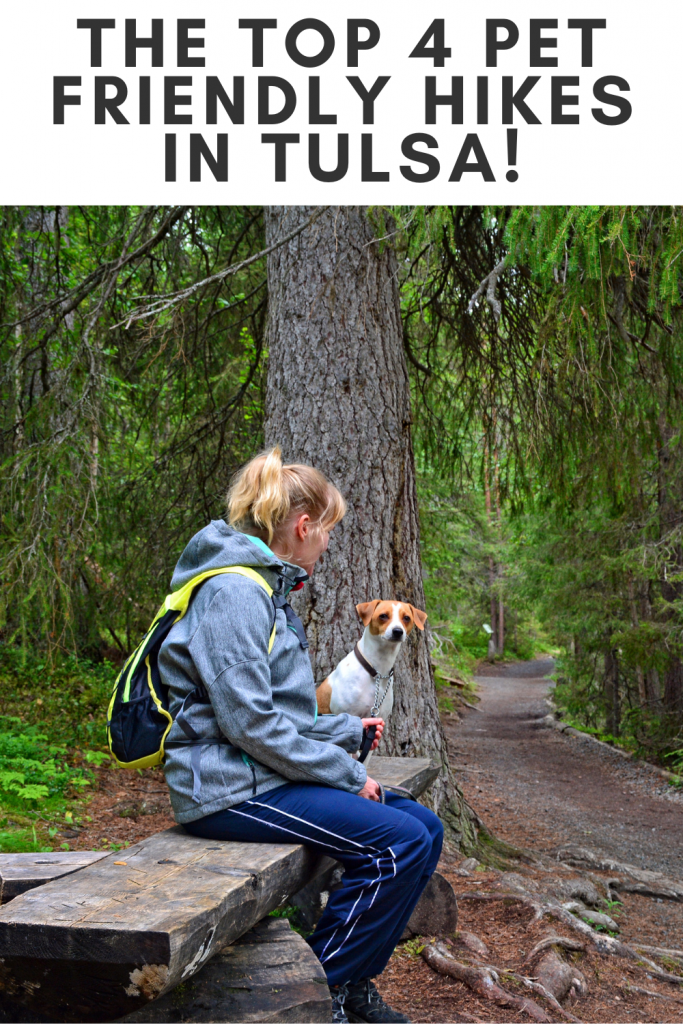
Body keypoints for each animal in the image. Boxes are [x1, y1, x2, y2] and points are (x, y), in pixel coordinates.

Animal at [315, 598, 428, 745]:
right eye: (383, 616)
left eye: (407, 618)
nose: (398, 631)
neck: (377, 672)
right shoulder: (346, 716)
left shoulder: (376, 721)